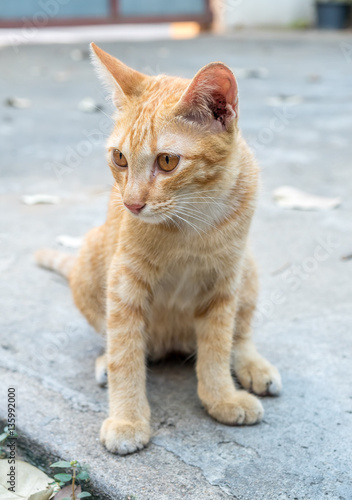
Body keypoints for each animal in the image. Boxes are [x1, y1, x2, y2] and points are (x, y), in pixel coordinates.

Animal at [35, 44, 282, 458]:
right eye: (119, 158)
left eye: (167, 161)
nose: (131, 204)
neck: (193, 221)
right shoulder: (124, 283)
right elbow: (125, 353)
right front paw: (128, 418)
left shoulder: (224, 282)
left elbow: (218, 345)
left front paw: (221, 397)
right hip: (90, 259)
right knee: (118, 342)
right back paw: (107, 362)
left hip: (248, 270)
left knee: (241, 333)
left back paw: (253, 366)